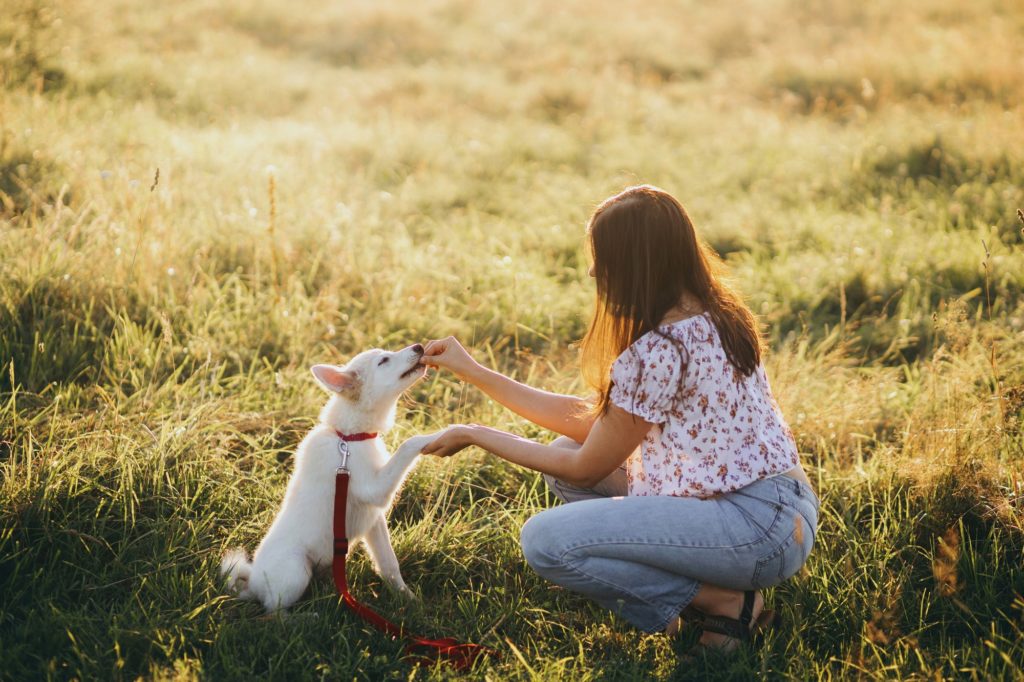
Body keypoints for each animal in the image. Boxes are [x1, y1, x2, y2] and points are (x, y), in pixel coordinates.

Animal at [220, 342, 436, 606]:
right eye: (384, 361)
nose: (419, 346)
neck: (349, 438)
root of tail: (252, 586)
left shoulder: (374, 520)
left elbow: (389, 565)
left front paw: (409, 600)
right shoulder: (374, 490)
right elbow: (408, 444)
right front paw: (442, 434)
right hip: (296, 570)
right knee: (273, 611)